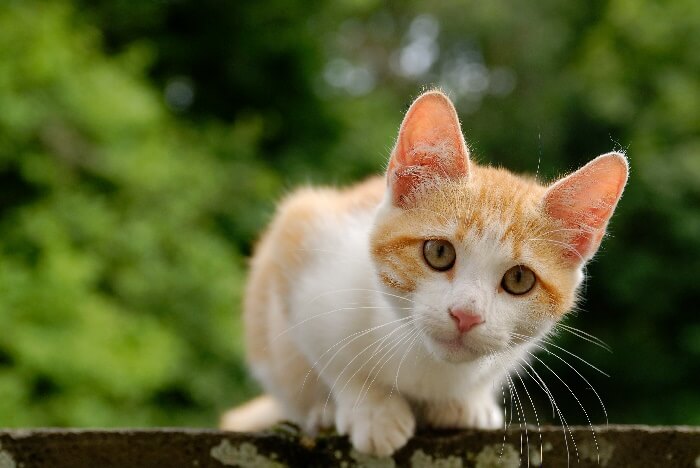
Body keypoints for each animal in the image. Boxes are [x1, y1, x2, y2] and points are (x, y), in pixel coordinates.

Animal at [220, 89, 628, 456]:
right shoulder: (301, 239)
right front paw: (372, 408)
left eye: (519, 279)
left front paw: (470, 402)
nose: (466, 315)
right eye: (439, 252)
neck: (427, 364)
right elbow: (332, 355)